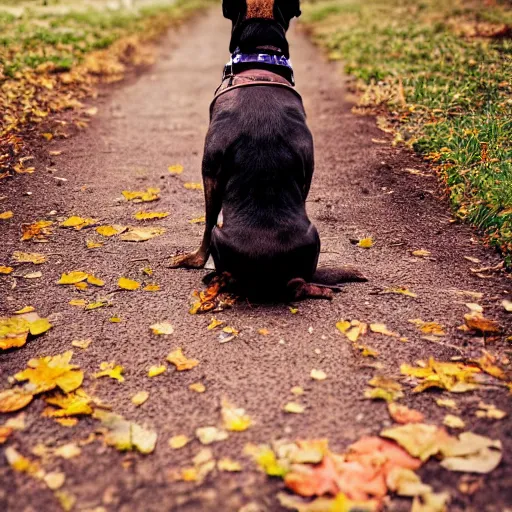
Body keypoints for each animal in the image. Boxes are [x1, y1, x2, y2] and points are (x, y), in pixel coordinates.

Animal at [170, 0, 366, 300]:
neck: (261, 60)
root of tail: (277, 280)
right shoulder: (306, 171)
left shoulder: (209, 172)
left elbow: (207, 222)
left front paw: (195, 260)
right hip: (314, 235)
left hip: (220, 234)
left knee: (217, 244)